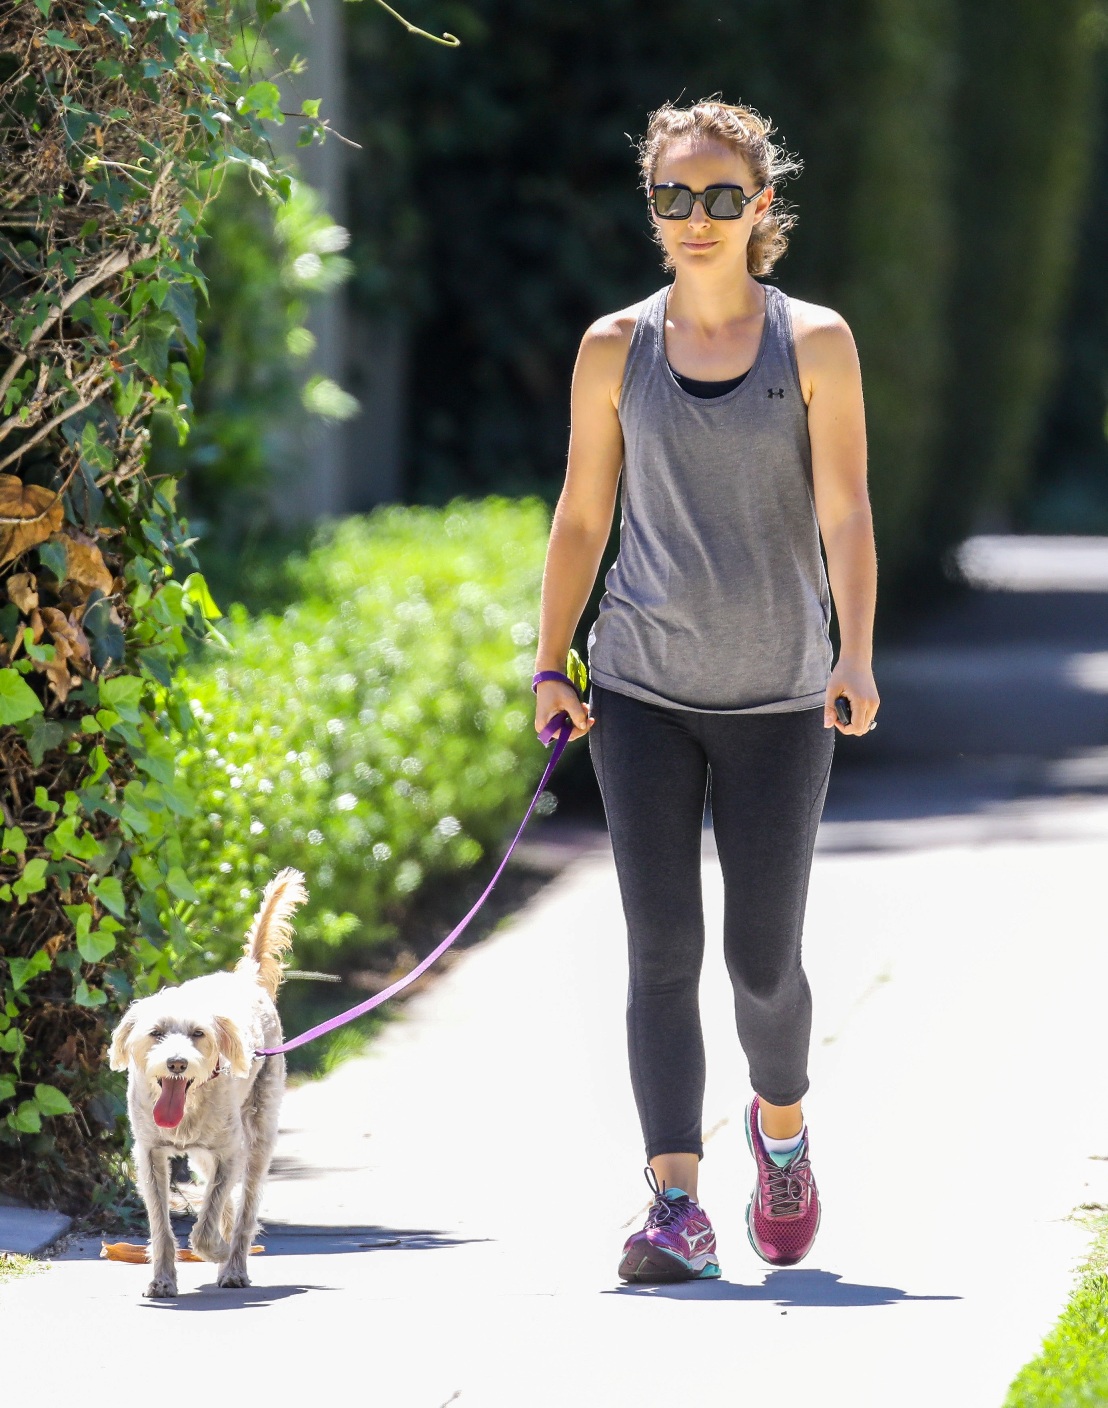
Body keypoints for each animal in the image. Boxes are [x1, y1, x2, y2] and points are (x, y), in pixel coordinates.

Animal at [109, 867, 308, 1295]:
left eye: (198, 1034)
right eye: (156, 1033)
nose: (177, 1063)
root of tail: (247, 979)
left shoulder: (230, 1150)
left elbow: (209, 1218)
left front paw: (215, 1249)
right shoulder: (149, 1154)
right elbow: (162, 1223)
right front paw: (162, 1278)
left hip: (257, 1135)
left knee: (245, 1205)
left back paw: (233, 1264)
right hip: (202, 1154)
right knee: (229, 1202)